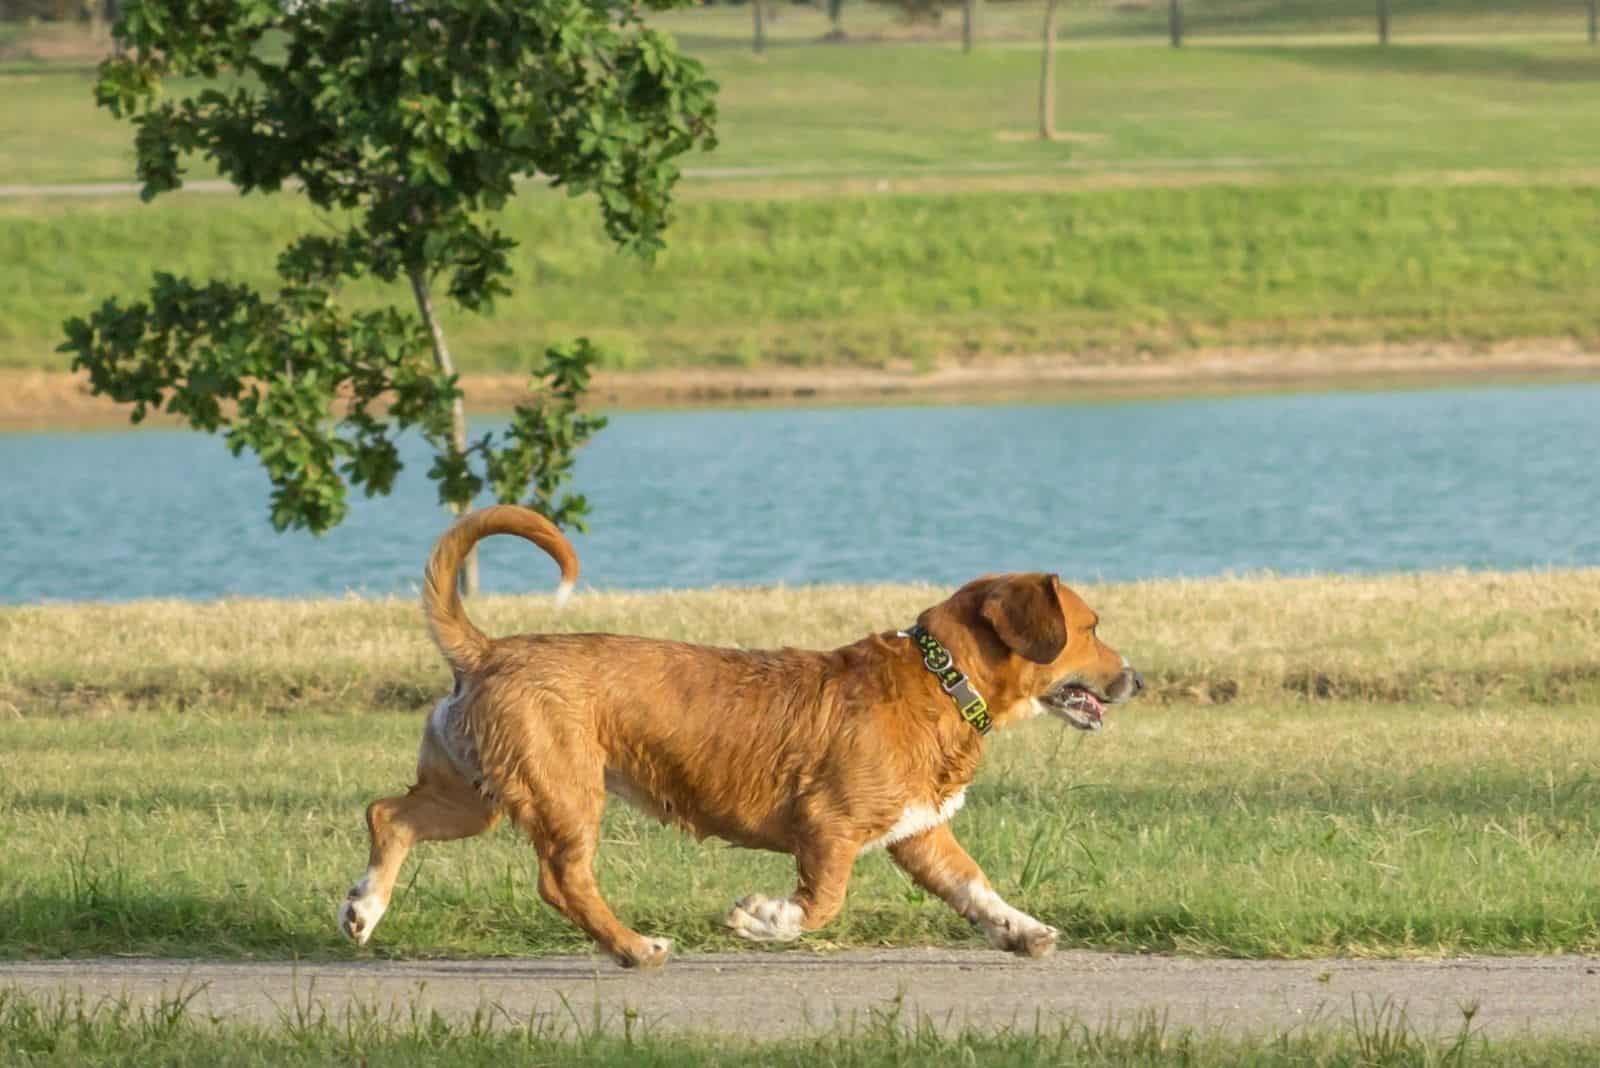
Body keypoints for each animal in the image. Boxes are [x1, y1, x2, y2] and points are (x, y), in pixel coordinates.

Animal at [337, 505, 1145, 965]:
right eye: (1092, 628)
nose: (1135, 680)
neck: (941, 680)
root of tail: (487, 650)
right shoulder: (828, 828)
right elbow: (822, 904)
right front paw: (761, 920)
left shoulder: (921, 834)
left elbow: (976, 888)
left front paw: (1023, 932)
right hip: (563, 792)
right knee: (562, 882)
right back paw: (637, 949)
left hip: (476, 792)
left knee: (389, 814)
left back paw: (364, 908)